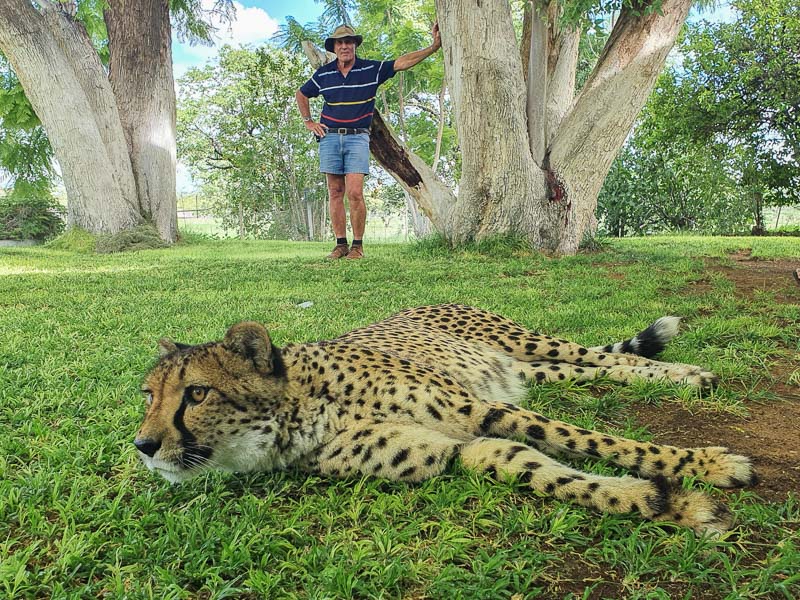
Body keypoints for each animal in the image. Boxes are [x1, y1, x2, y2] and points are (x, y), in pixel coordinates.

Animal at [136, 304, 756, 536]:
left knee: (607, 357)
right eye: (147, 395)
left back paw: (686, 375)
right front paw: (661, 502)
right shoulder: (456, 447)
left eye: (196, 393)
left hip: (526, 343)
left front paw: (705, 464)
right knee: (598, 368)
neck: (302, 412)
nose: (144, 445)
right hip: (530, 369)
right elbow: (541, 469)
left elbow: (588, 439)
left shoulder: (482, 409)